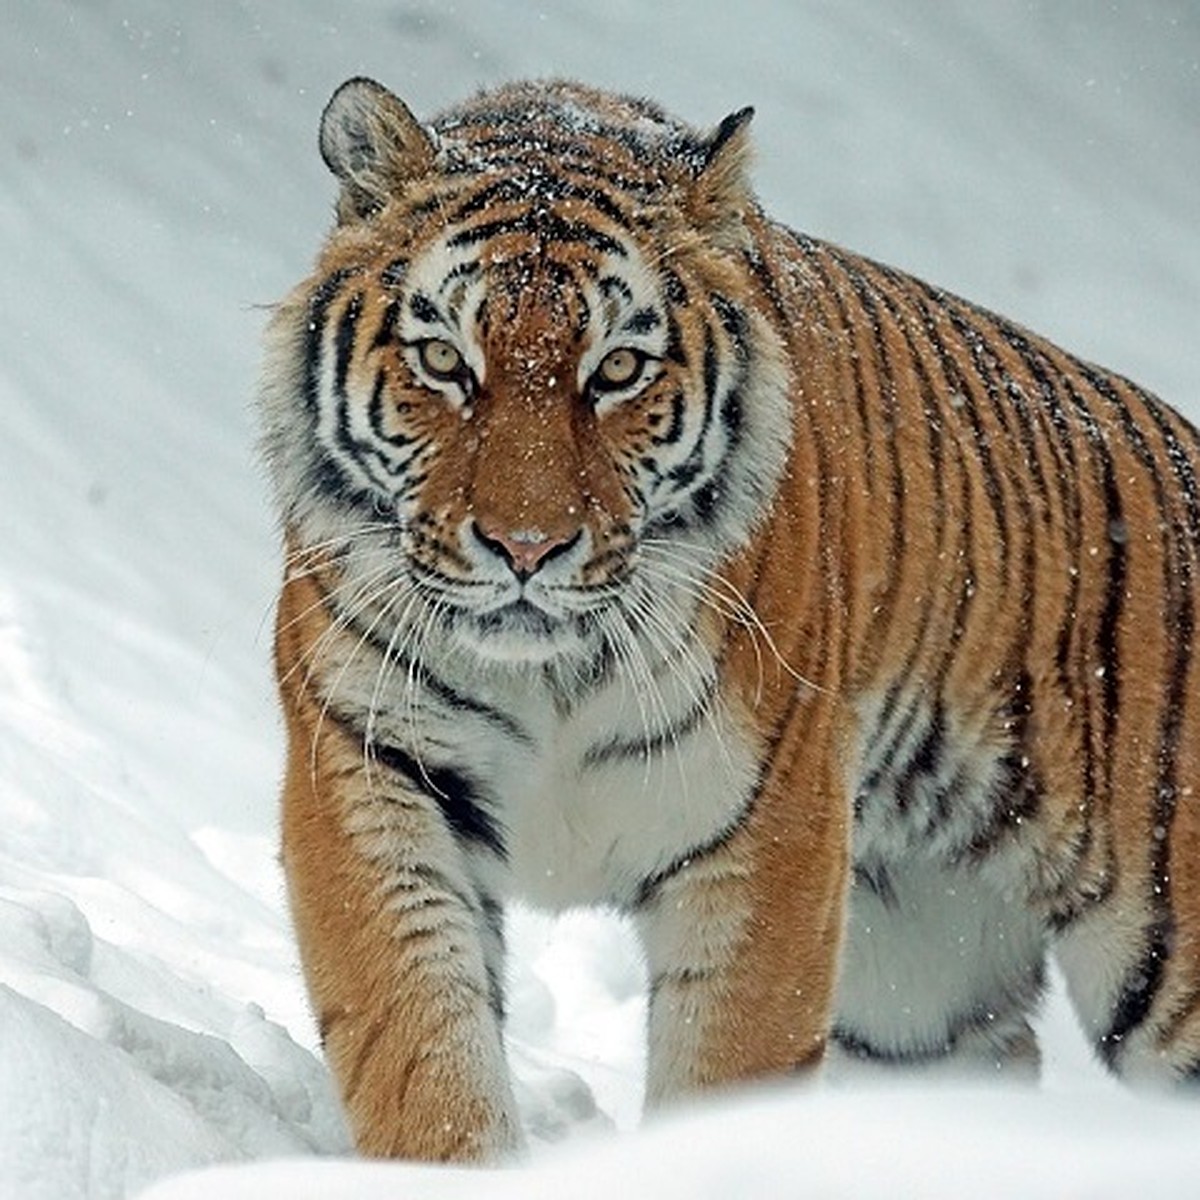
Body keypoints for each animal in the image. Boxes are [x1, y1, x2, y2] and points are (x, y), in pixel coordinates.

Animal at [260, 77, 1200, 1161]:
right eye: (445, 362)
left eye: (617, 371)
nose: (527, 549)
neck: (551, 676)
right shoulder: (372, 775)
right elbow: (421, 1050)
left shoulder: (767, 836)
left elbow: (726, 1070)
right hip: (919, 990)